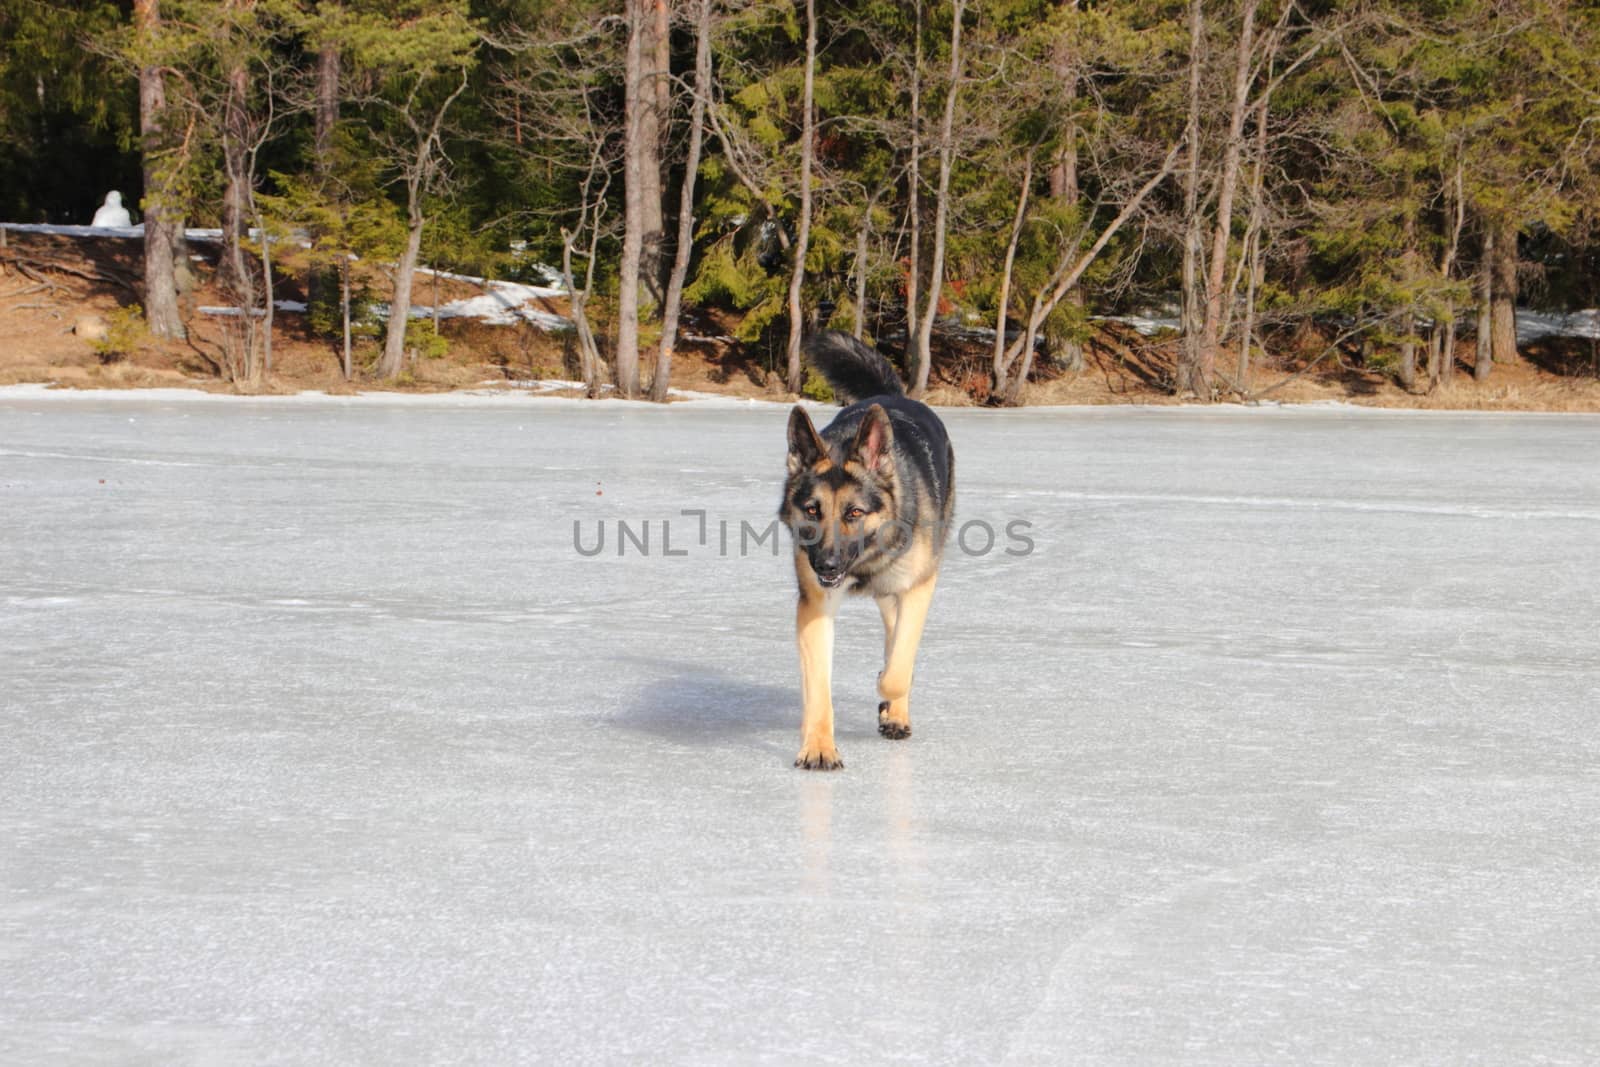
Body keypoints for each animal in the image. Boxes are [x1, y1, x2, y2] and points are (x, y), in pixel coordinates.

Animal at [780, 331, 953, 767]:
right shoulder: (815, 607)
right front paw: (819, 747)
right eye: (812, 509)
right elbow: (819, 687)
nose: (825, 565)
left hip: (904, 588)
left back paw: (896, 713)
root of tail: (892, 396)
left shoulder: (919, 587)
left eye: (854, 512)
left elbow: (896, 671)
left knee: (898, 646)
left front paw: (889, 696)